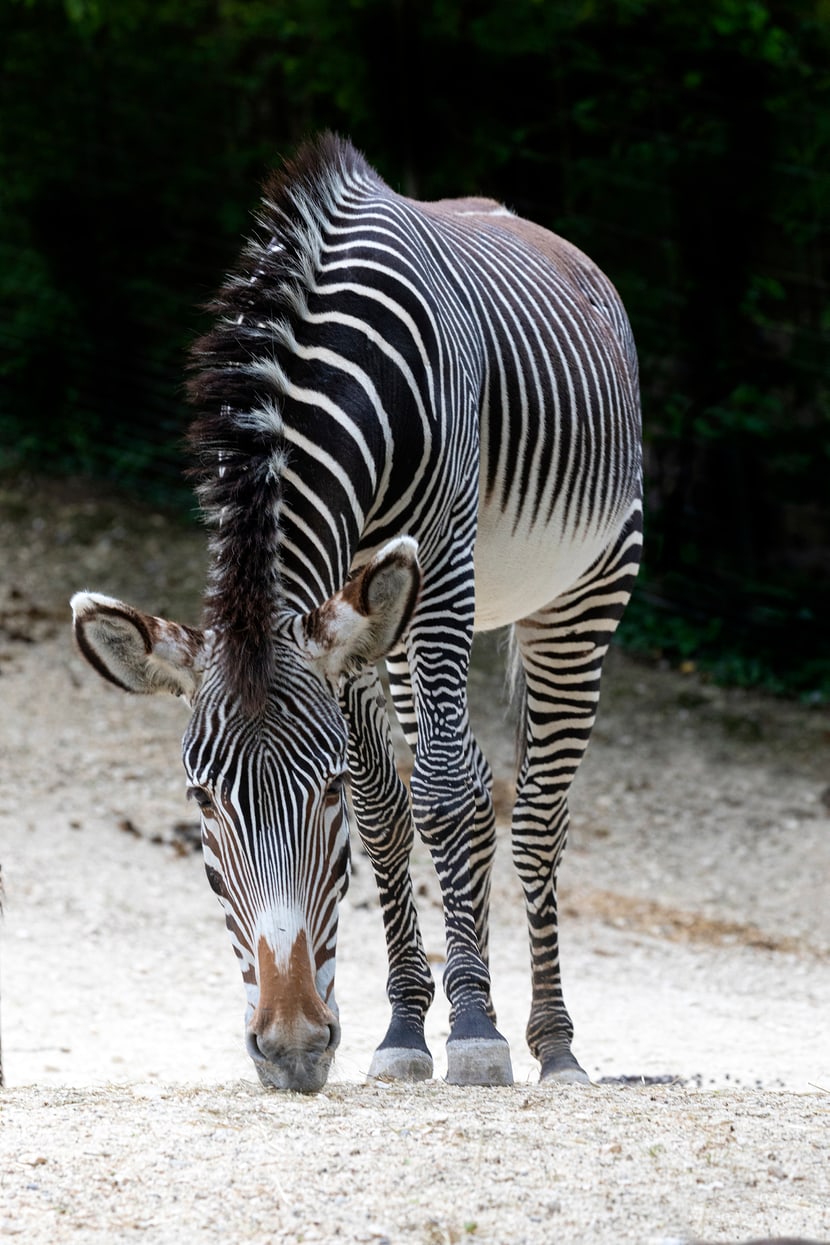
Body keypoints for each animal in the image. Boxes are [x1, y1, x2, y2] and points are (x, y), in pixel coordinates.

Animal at [71, 131, 642, 1095]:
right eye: (201, 800)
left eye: (323, 790)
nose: (293, 1047)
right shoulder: (346, 620)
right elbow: (387, 811)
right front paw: (408, 1028)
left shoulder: (441, 562)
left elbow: (437, 789)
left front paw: (476, 1032)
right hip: (396, 629)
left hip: (584, 587)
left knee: (534, 811)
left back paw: (554, 1043)